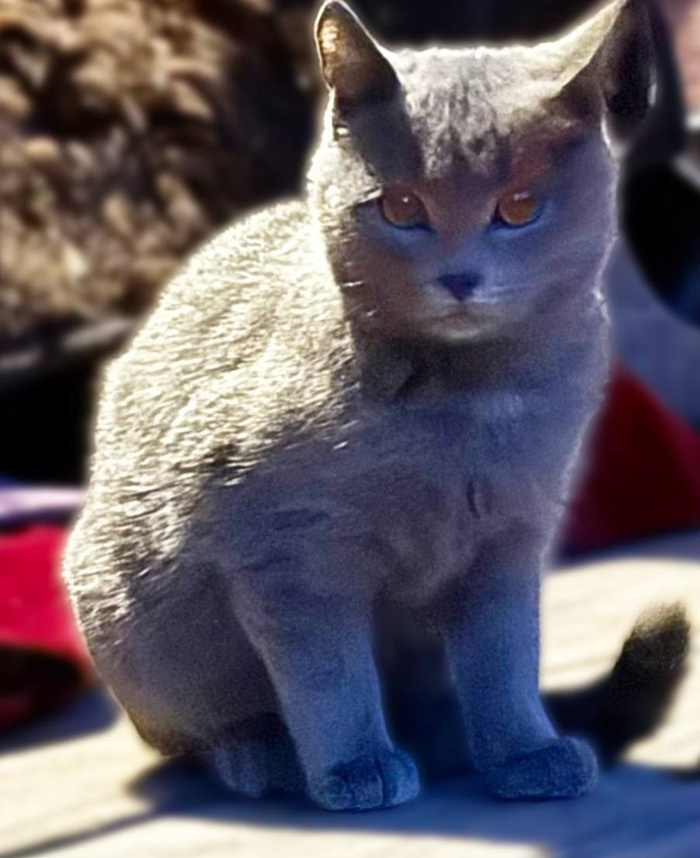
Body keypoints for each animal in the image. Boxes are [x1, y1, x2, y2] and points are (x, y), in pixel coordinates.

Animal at [63, 0, 687, 811]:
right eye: (400, 206)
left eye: (518, 207)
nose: (459, 278)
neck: (470, 402)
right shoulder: (287, 554)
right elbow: (329, 675)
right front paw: (355, 766)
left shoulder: (510, 538)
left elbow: (505, 658)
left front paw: (523, 749)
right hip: (131, 617)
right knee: (199, 730)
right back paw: (262, 755)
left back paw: (448, 739)